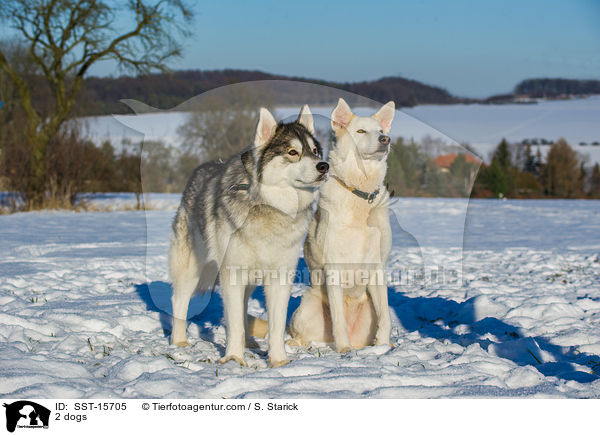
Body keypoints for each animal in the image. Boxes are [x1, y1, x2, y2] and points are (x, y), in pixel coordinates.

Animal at [169, 105, 328, 368]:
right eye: (293, 152)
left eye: (315, 152)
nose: (324, 166)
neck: (271, 206)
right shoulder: (232, 273)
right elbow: (233, 324)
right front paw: (234, 358)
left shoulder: (280, 277)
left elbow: (276, 326)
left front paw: (279, 361)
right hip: (192, 269)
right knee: (179, 301)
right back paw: (178, 342)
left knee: (243, 306)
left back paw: (251, 343)